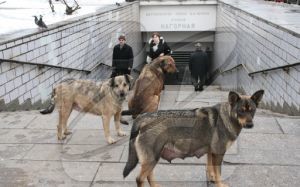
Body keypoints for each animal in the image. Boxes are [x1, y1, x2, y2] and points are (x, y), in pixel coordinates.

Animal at [123, 90, 264, 186]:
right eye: (241, 110)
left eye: (252, 110)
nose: (250, 125)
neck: (228, 116)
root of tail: (143, 117)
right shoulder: (218, 153)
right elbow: (218, 172)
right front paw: (219, 183)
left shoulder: (211, 152)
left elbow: (210, 168)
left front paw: (211, 178)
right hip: (151, 157)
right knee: (140, 179)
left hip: (152, 158)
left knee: (148, 175)